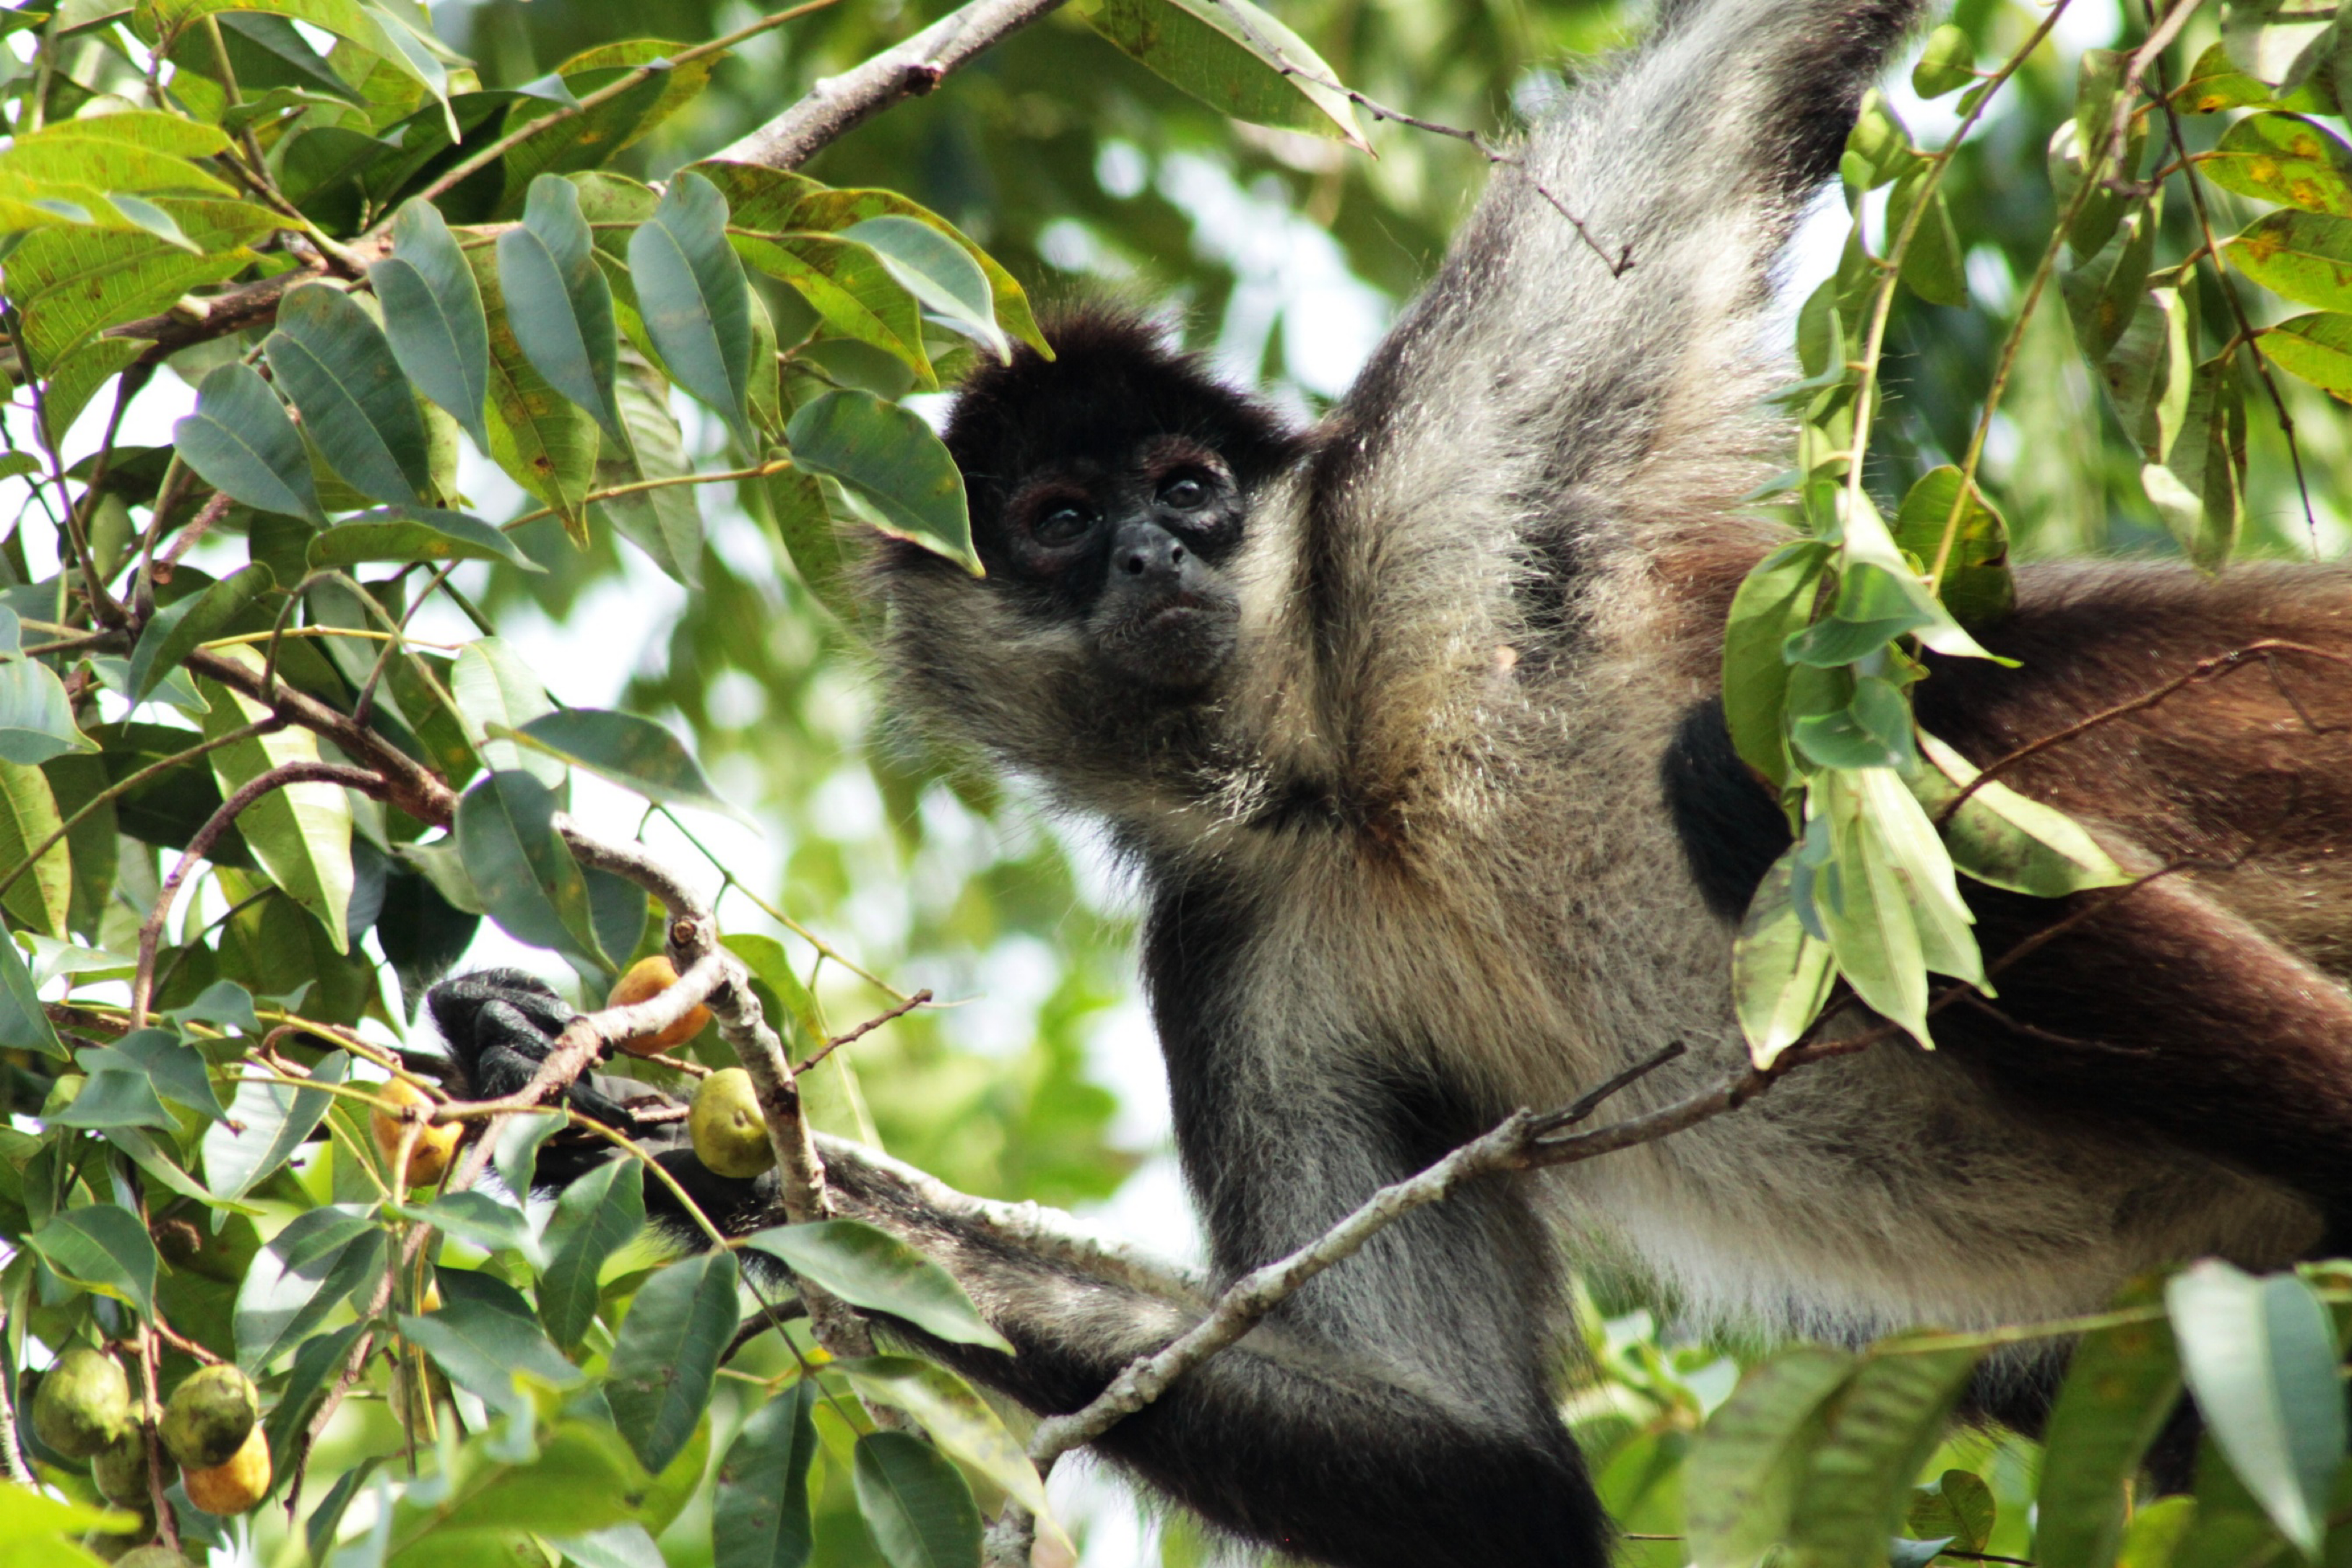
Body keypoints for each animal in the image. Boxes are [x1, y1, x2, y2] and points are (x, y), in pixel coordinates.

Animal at [425, 0, 2352, 1563]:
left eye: (1187, 486)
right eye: (1054, 520)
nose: (1150, 554)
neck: (1344, 779)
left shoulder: (1439, 485)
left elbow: (1748, 70)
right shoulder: (1228, 936)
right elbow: (1484, 1468)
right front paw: (633, 1125)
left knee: (1749, 772)